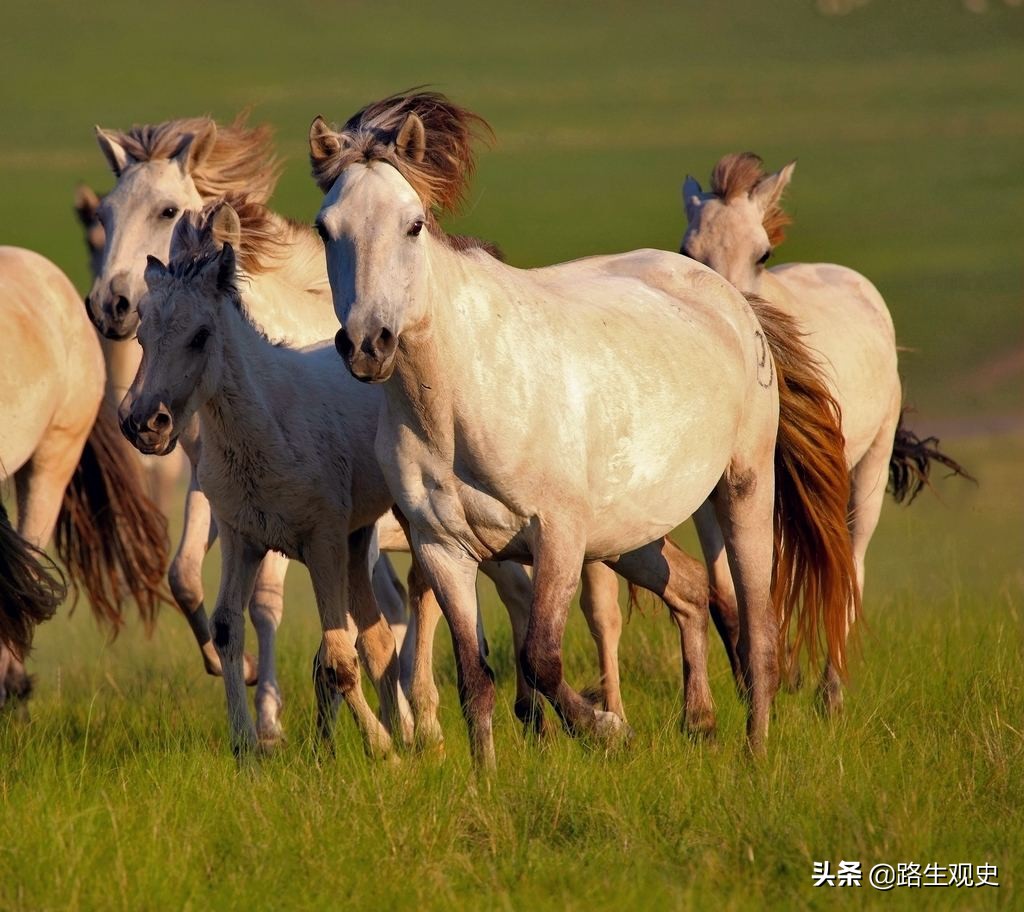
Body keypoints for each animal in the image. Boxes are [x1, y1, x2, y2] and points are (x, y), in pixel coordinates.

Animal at [309, 92, 856, 765]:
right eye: (326, 229)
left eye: (412, 224)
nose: (368, 344)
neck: (461, 398)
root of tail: (732, 299)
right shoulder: (442, 549)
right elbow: (474, 680)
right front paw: (487, 776)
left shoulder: (558, 536)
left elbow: (540, 658)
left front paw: (605, 727)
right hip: (628, 532)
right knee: (692, 587)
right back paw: (700, 722)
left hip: (742, 492)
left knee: (758, 631)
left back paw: (754, 752)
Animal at [675, 153, 970, 712]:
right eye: (688, 252)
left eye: (762, 254)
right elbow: (726, 592)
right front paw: (752, 679)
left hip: (866, 470)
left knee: (849, 566)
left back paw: (829, 693)